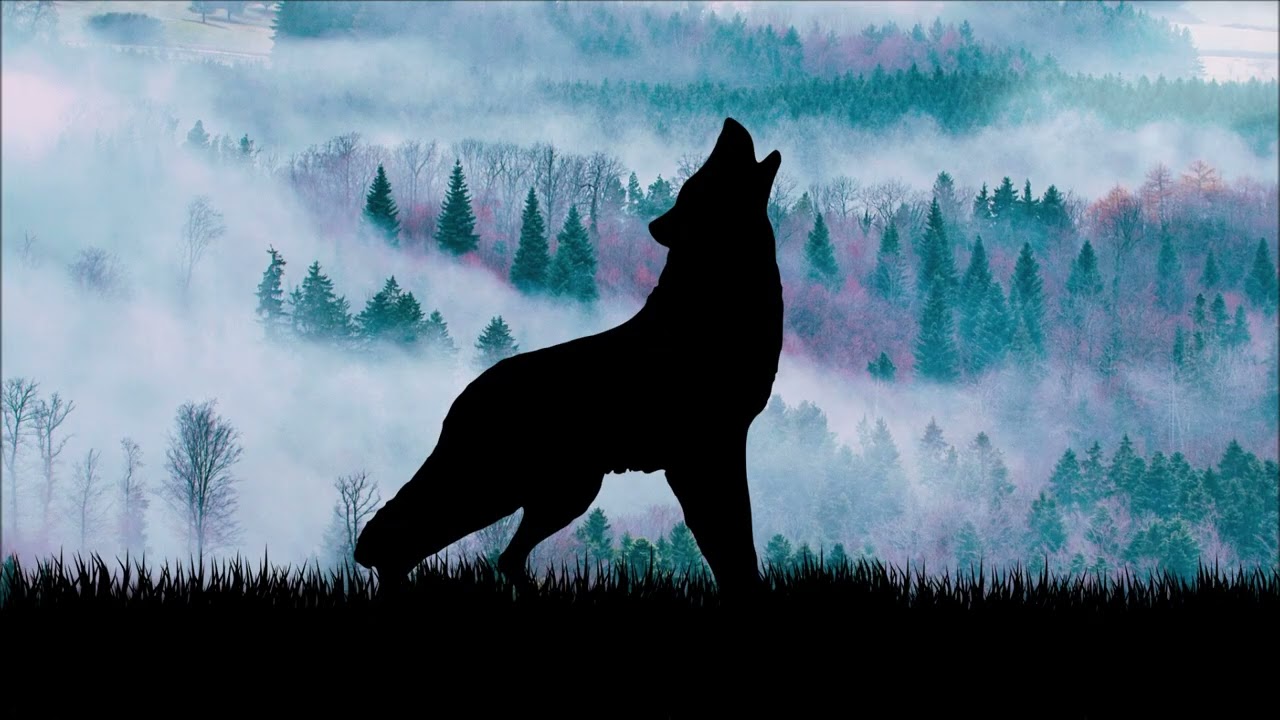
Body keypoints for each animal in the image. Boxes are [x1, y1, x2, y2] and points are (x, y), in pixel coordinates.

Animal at [353, 117, 784, 598]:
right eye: (704, 179)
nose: (730, 123)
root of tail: (462, 397)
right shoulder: (707, 448)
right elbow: (730, 535)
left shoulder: (712, 448)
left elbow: (728, 538)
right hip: (514, 487)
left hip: (562, 493)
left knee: (501, 555)